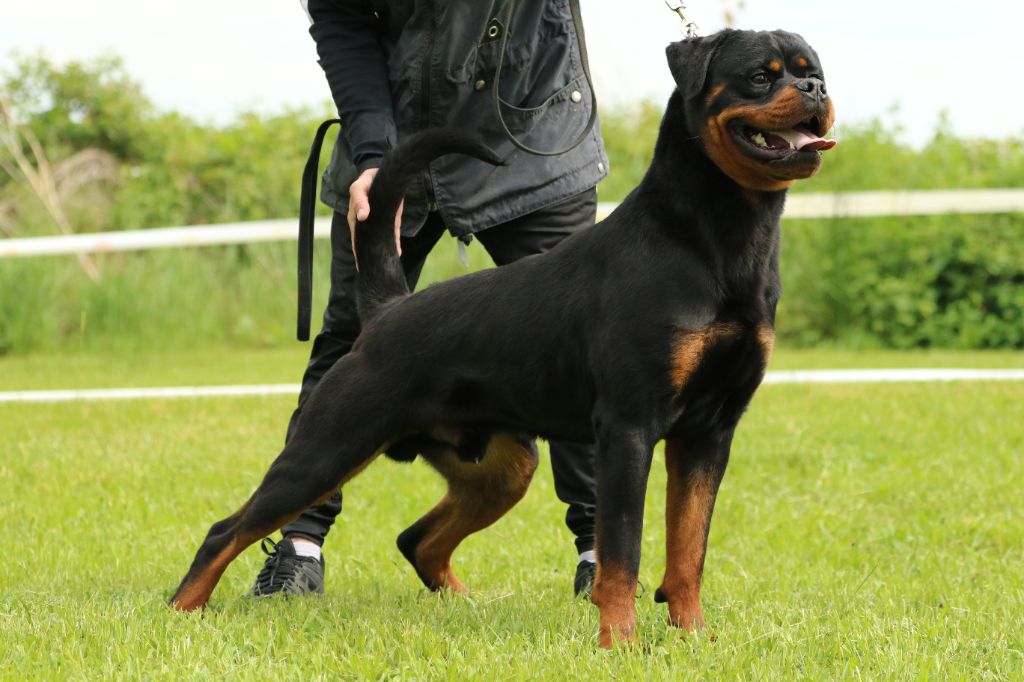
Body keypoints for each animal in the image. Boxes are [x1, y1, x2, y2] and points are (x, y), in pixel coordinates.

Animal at [170, 28, 835, 649]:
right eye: (759, 76)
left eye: (814, 72)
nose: (814, 90)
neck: (717, 238)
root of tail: (388, 310)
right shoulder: (630, 427)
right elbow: (624, 552)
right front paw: (621, 643)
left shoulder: (710, 431)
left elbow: (689, 548)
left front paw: (693, 635)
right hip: (327, 446)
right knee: (226, 530)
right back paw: (180, 613)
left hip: (502, 466)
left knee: (416, 539)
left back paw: (466, 606)